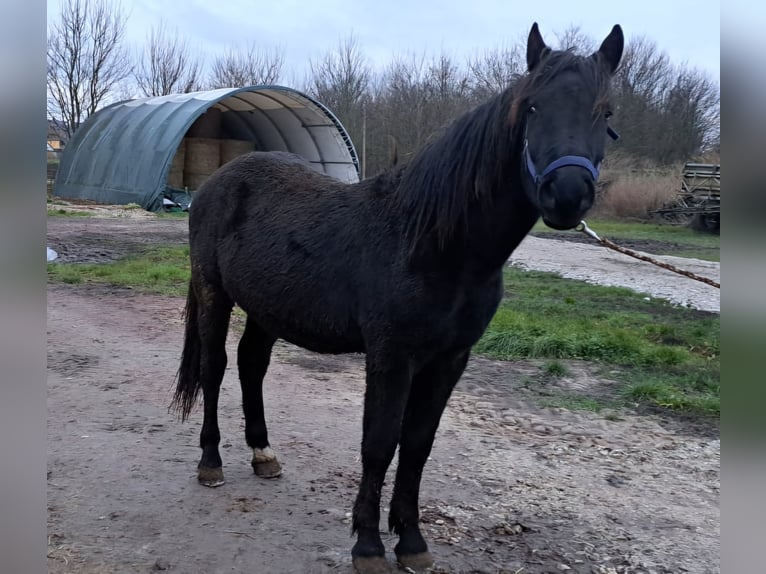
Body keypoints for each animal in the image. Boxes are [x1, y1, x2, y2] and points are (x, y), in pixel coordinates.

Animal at [174, 22, 624, 574]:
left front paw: (411, 540)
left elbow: (417, 446)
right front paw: (368, 545)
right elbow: (379, 443)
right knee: (214, 368)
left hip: (267, 307)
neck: (430, 243)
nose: (567, 194)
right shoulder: (391, 356)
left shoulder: (450, 359)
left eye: (606, 112)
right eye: (533, 106)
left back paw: (263, 454)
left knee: (250, 365)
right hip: (214, 293)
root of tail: (217, 182)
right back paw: (210, 462)